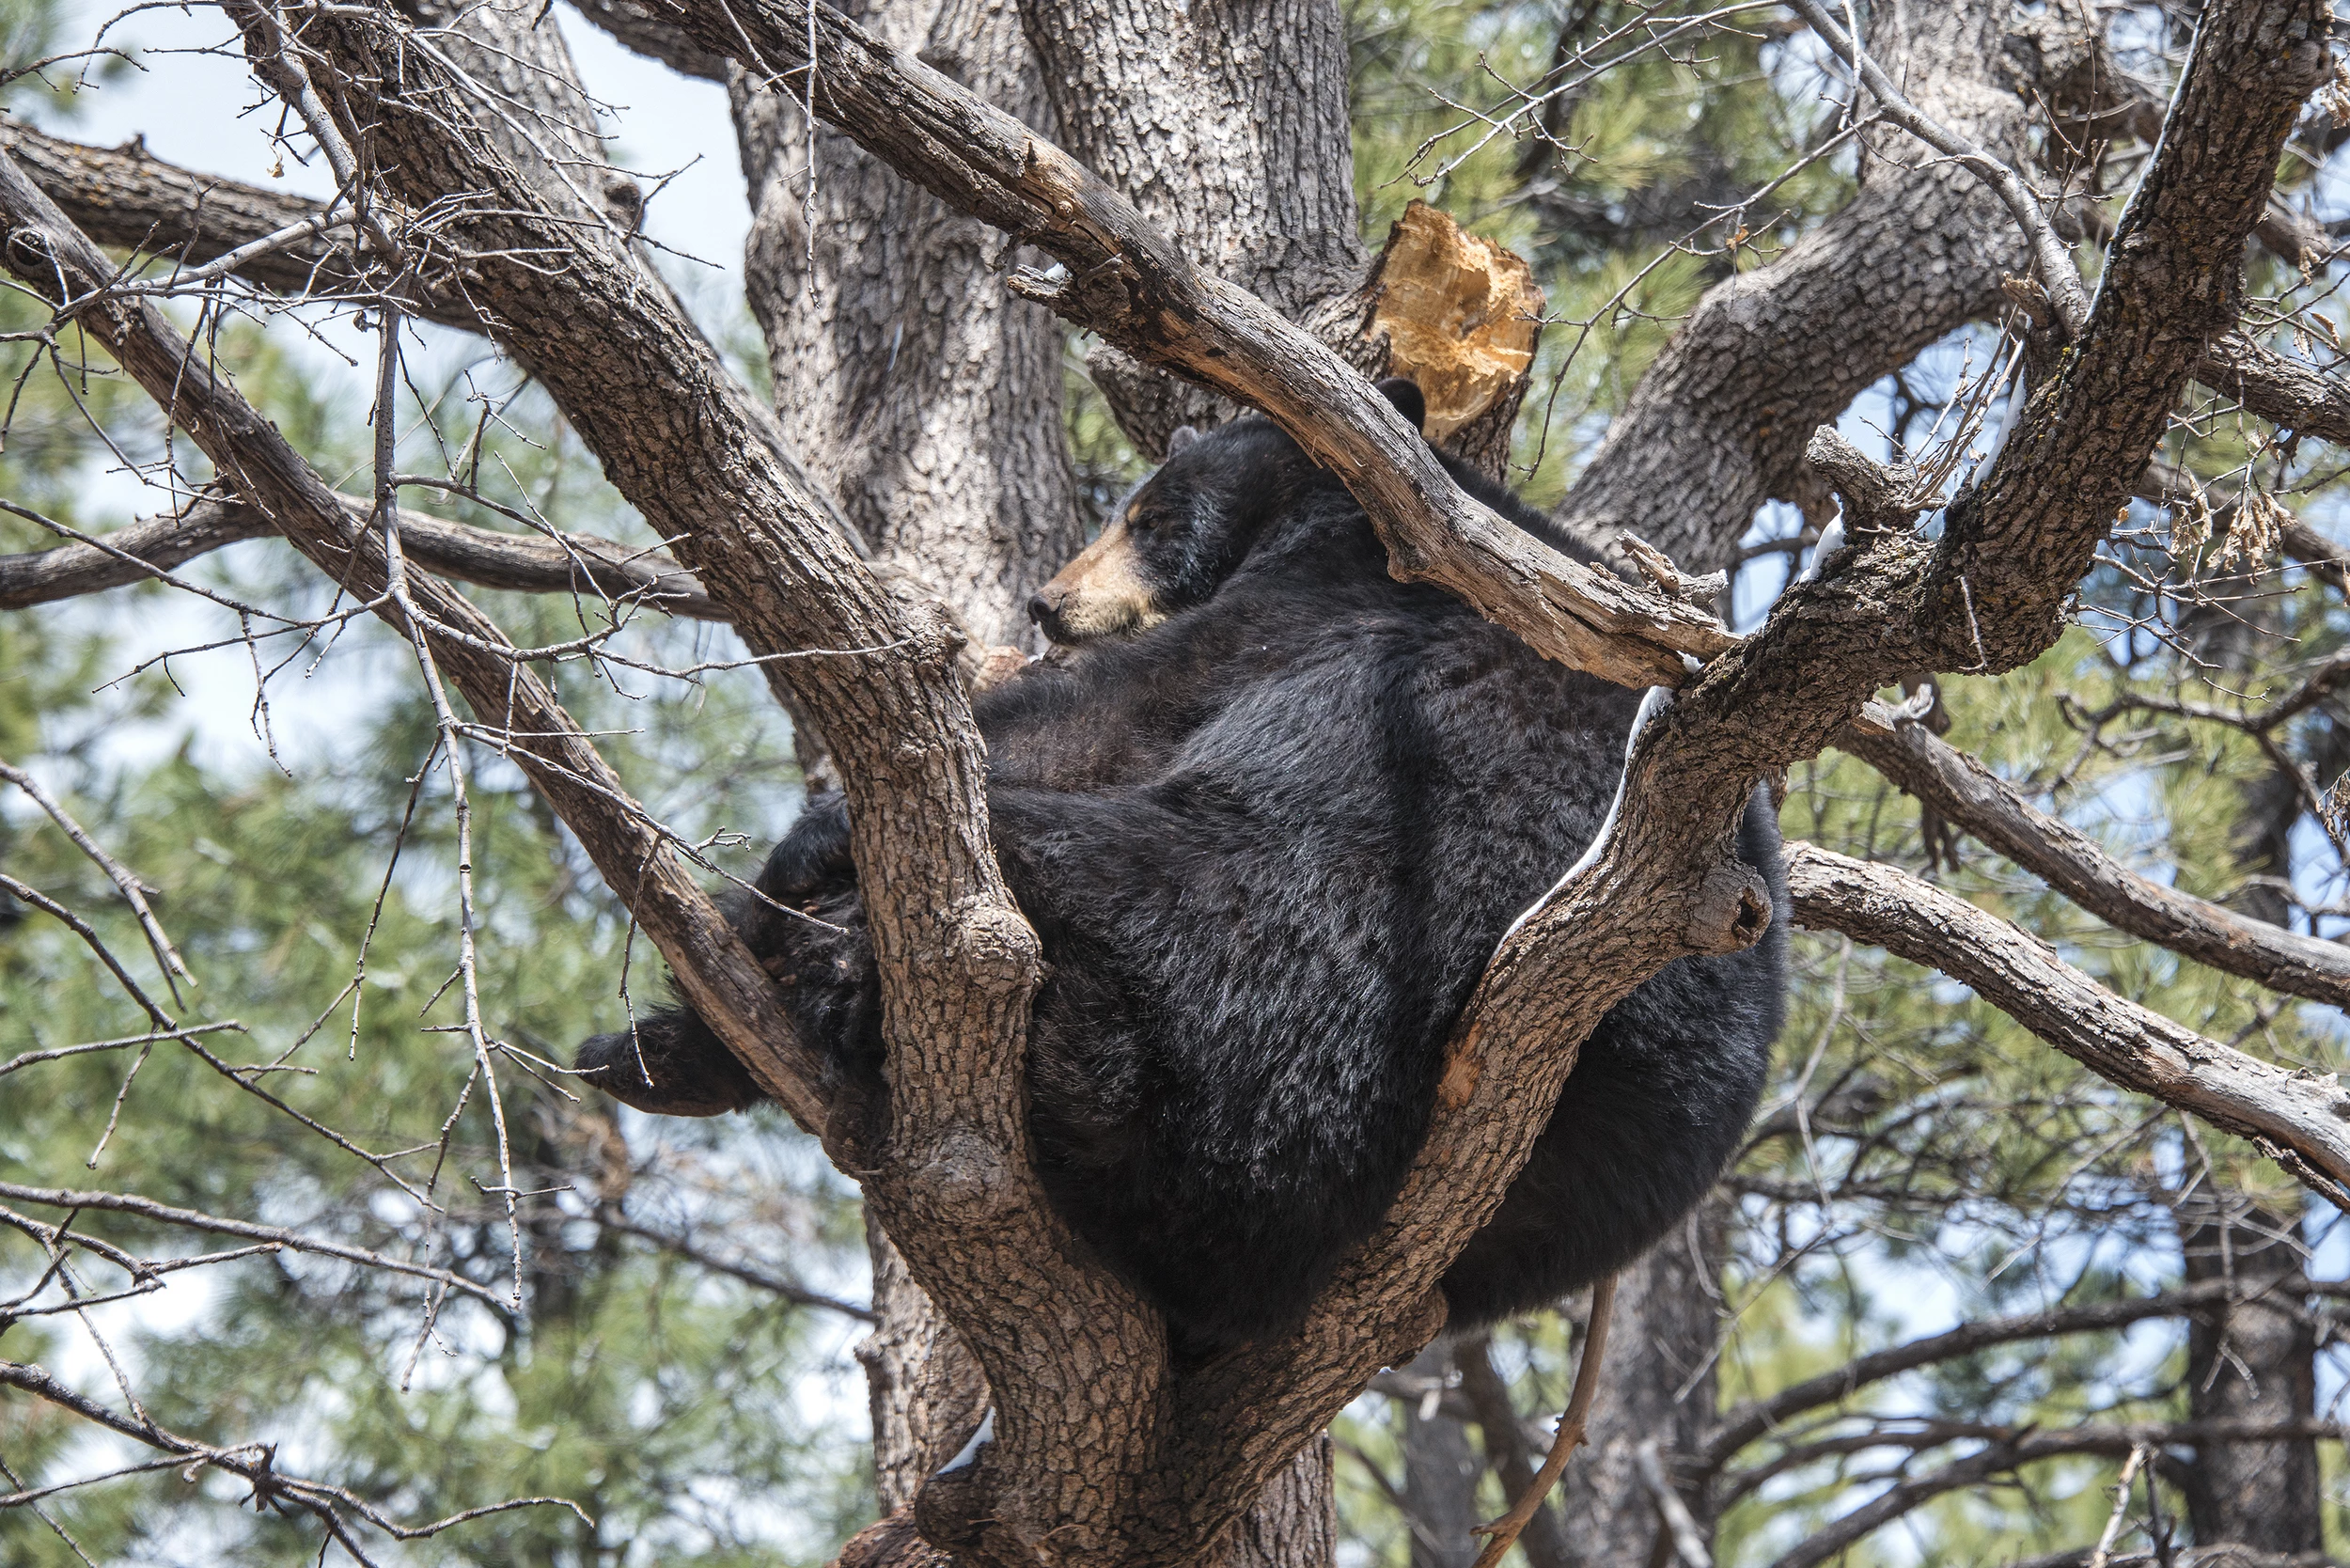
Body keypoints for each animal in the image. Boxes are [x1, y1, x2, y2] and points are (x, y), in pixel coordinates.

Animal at [583, 383, 1777, 1354]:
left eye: (1150, 518)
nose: (1046, 602)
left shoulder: (1318, 604)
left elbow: (1109, 713)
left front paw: (799, 853)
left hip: (1231, 932)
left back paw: (775, 985)